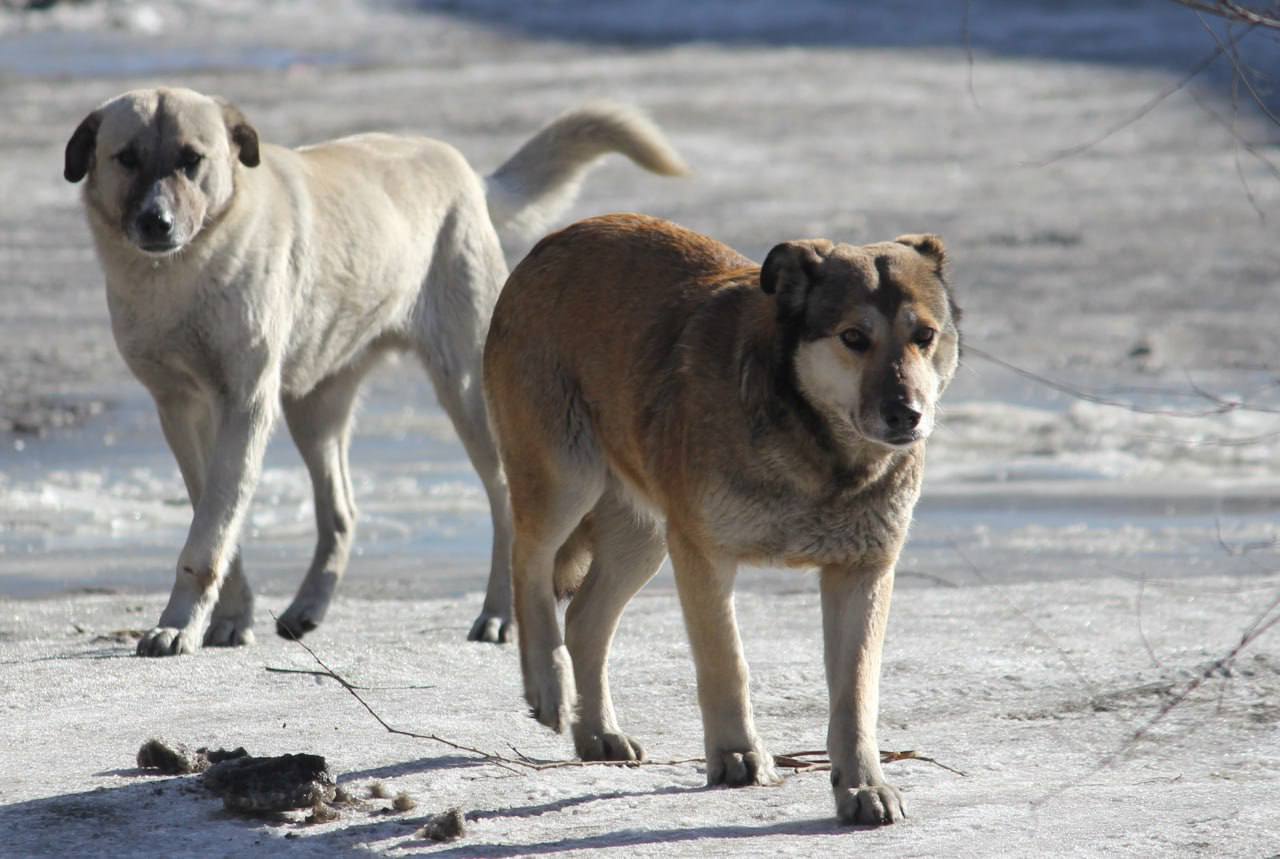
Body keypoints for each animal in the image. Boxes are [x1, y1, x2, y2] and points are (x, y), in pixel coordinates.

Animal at [67, 87, 691, 655]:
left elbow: (211, 532)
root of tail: (460, 168)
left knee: (505, 504)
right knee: (342, 512)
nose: (157, 223)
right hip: (314, 407)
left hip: (469, 394)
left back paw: (498, 616)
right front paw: (228, 618)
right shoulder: (179, 409)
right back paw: (306, 609)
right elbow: (217, 521)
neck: (182, 276)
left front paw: (180, 625)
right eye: (126, 157)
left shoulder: (243, 405)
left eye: (191, 159)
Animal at [481, 211, 962, 824]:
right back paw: (548, 688)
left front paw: (864, 788)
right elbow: (726, 662)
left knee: (586, 618)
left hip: (643, 536)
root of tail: (554, 240)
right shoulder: (703, 554)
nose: (907, 414)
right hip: (567, 479)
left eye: (924, 336)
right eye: (854, 337)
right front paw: (738, 757)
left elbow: (856, 695)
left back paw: (598, 735)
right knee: (528, 564)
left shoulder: (863, 569)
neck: (821, 454)